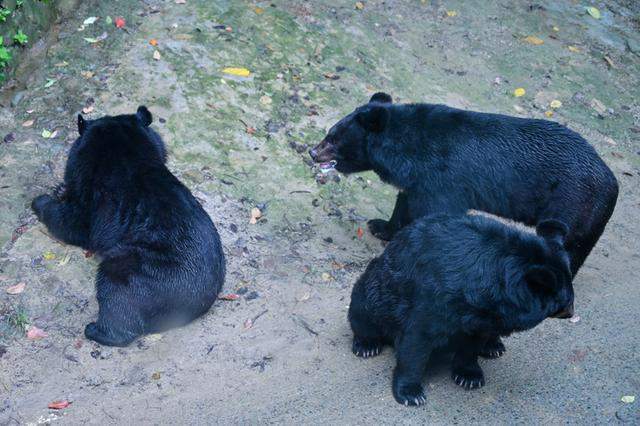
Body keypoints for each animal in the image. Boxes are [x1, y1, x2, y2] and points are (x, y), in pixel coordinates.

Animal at [30, 106, 225, 346]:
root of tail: (196, 302)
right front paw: (59, 189)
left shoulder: (95, 197)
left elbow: (75, 223)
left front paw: (41, 201)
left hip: (140, 271)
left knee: (116, 292)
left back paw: (96, 330)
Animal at [312, 92, 620, 276]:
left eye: (333, 137)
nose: (313, 153)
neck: (407, 150)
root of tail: (612, 182)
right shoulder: (419, 181)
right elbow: (404, 203)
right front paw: (380, 226)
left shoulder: (444, 179)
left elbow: (433, 213)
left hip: (571, 204)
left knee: (569, 243)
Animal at [350, 213, 576, 406]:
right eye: (566, 303)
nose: (572, 312)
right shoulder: (436, 298)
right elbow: (417, 341)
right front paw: (410, 393)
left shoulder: (481, 316)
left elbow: (471, 344)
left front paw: (469, 376)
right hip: (374, 291)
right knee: (363, 312)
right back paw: (367, 345)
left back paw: (494, 346)